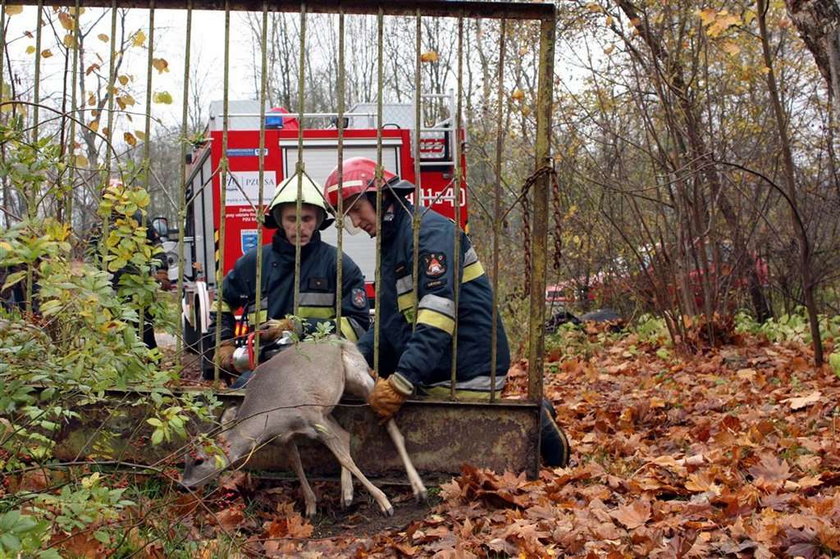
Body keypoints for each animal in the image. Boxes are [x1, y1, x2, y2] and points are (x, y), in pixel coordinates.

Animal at [179, 334, 426, 520]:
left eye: (199, 460)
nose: (183, 486)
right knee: (345, 434)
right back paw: (346, 495)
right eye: (184, 459)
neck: (272, 411)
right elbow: (296, 464)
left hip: (359, 378)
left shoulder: (312, 416)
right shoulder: (285, 436)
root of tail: (341, 339)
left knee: (391, 428)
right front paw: (310, 507)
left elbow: (343, 458)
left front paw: (384, 502)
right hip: (327, 407)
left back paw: (419, 490)